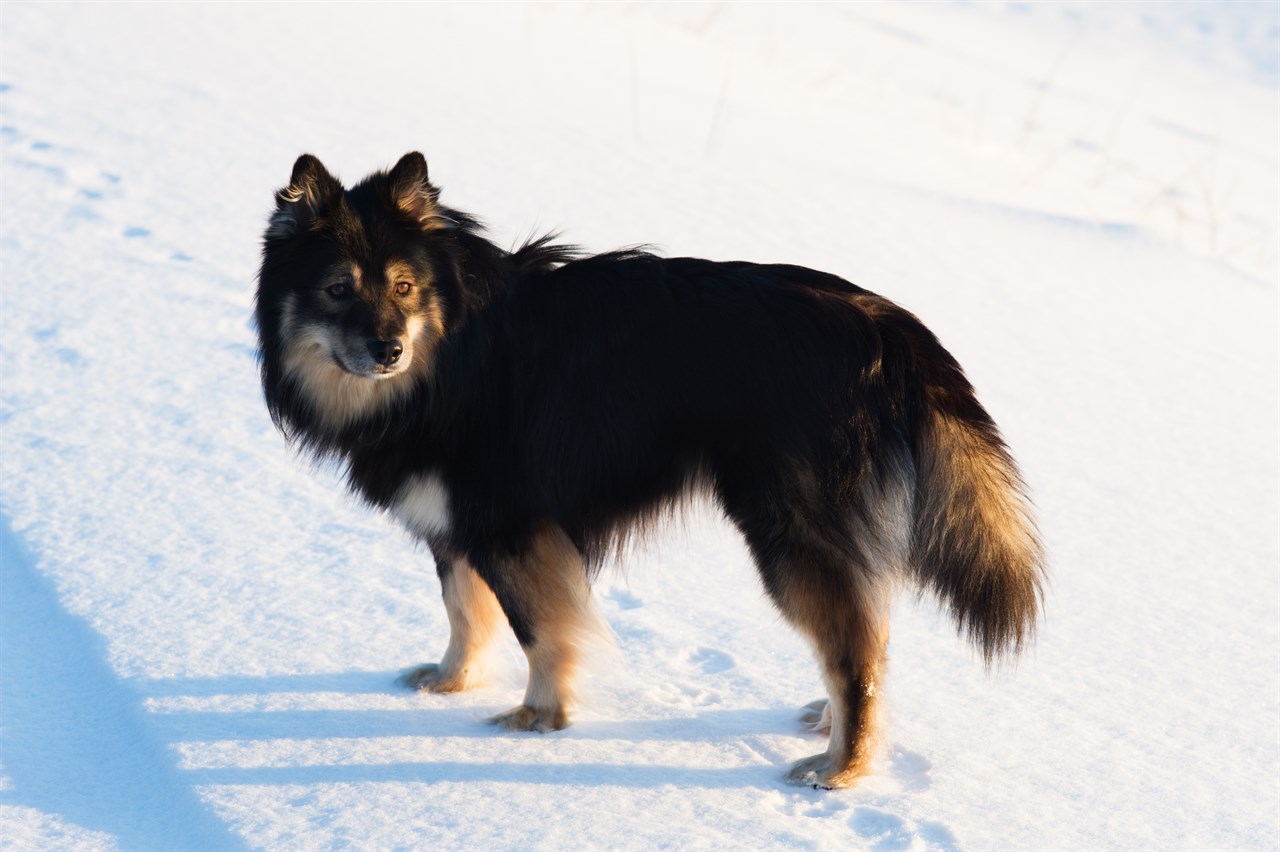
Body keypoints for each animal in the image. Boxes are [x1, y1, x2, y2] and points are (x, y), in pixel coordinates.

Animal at [254, 150, 1044, 782]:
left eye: (402, 287)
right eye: (338, 289)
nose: (387, 350)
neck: (451, 360)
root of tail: (889, 328)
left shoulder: (515, 527)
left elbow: (540, 631)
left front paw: (538, 719)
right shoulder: (458, 526)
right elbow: (464, 612)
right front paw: (451, 682)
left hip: (789, 532)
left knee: (857, 656)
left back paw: (840, 769)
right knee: (863, 635)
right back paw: (832, 726)